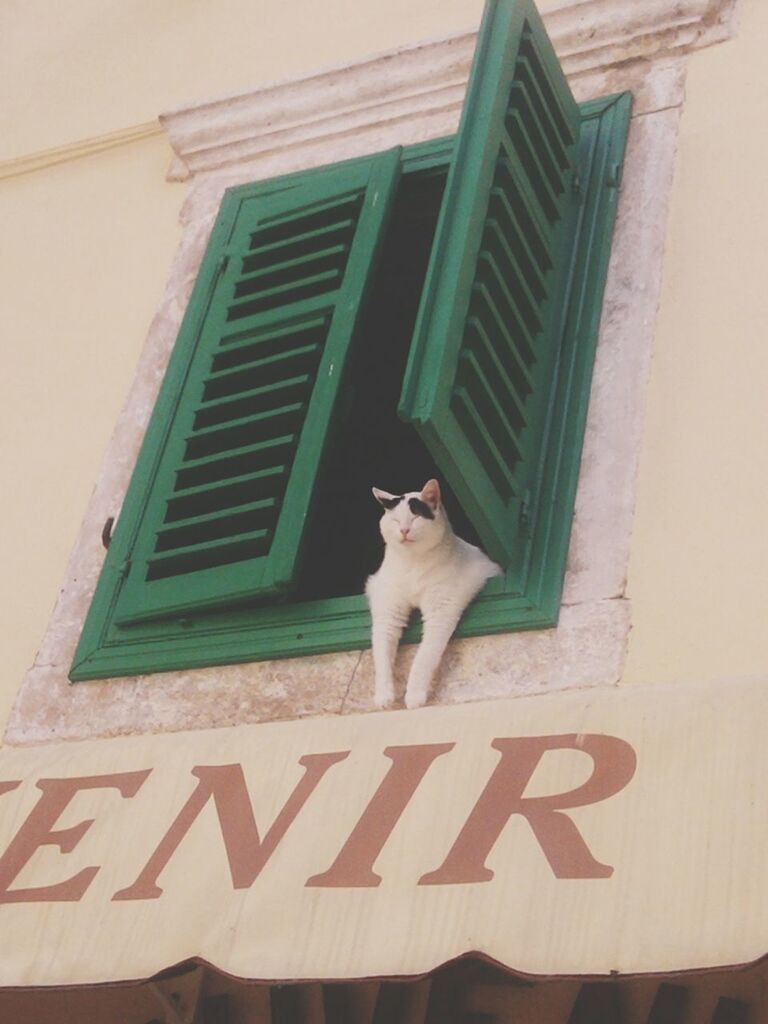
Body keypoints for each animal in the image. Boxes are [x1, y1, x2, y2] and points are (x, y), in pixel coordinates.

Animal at [364, 477, 501, 704]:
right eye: (395, 521)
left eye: (416, 517)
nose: (403, 530)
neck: (412, 564)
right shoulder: (386, 611)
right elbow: (381, 655)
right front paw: (384, 695)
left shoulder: (441, 612)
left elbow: (424, 657)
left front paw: (414, 696)